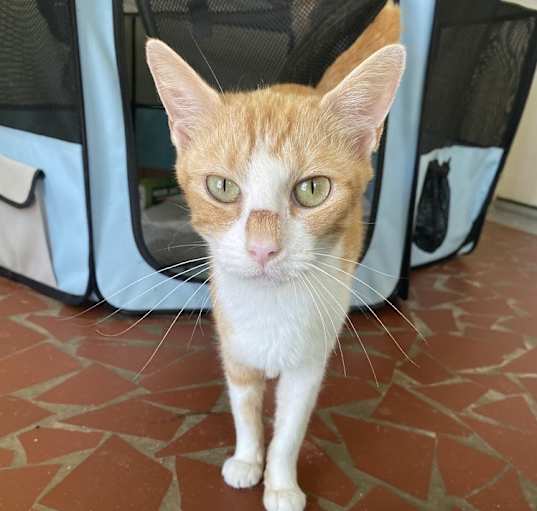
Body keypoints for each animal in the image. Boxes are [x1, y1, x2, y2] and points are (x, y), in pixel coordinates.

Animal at [147, 2, 402, 510]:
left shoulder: (308, 366)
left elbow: (288, 430)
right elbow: (245, 411)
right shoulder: (235, 347)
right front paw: (247, 461)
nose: (262, 248)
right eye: (222, 187)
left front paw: (281, 484)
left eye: (313, 189)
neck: (271, 308)